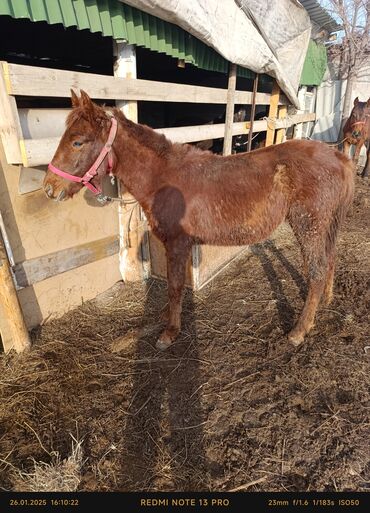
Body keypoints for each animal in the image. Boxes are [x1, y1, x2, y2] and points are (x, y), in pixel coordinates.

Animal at [44, 90, 354, 350]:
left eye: (77, 142)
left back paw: (299, 331)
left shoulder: (177, 243)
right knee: (330, 259)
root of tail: (339, 157)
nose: (50, 188)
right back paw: (326, 300)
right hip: (325, 227)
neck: (163, 178)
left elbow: (174, 286)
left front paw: (169, 332)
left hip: (308, 225)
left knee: (316, 271)